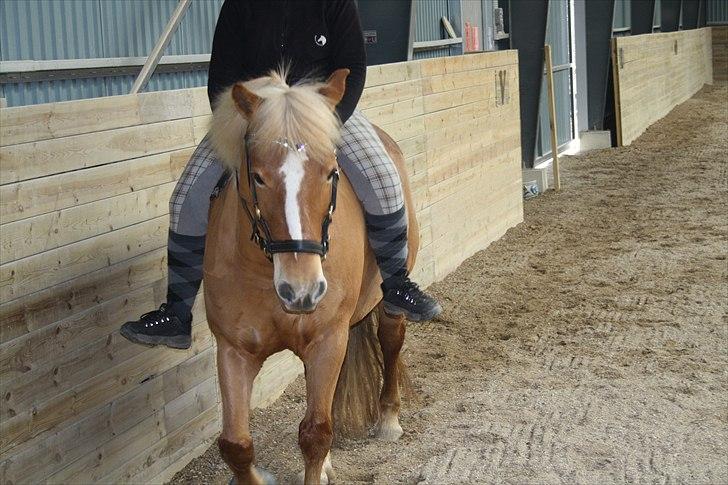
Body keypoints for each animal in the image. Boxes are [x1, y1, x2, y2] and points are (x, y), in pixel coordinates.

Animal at [205, 69, 418, 484]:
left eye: (332, 173)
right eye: (258, 178)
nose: (301, 290)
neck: (265, 273)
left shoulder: (326, 339)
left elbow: (315, 434)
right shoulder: (234, 350)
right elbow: (236, 445)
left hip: (387, 304)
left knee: (390, 340)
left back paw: (389, 420)